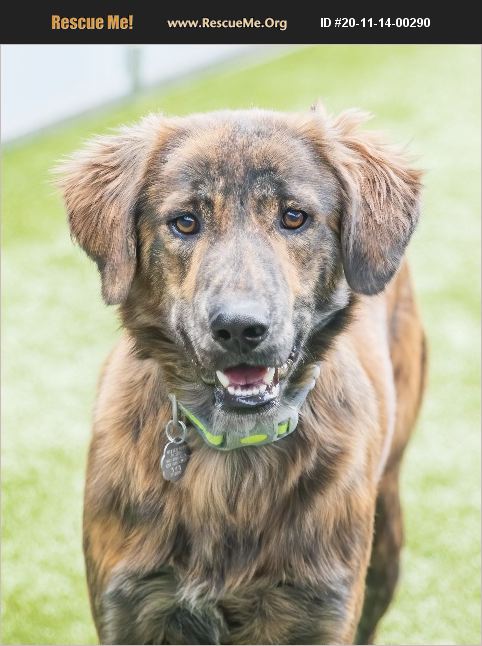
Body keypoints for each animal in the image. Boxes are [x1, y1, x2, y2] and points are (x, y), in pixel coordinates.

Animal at [59, 104, 426, 644]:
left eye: (293, 216)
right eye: (185, 222)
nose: (238, 328)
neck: (232, 465)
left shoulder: (317, 606)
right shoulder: (133, 608)